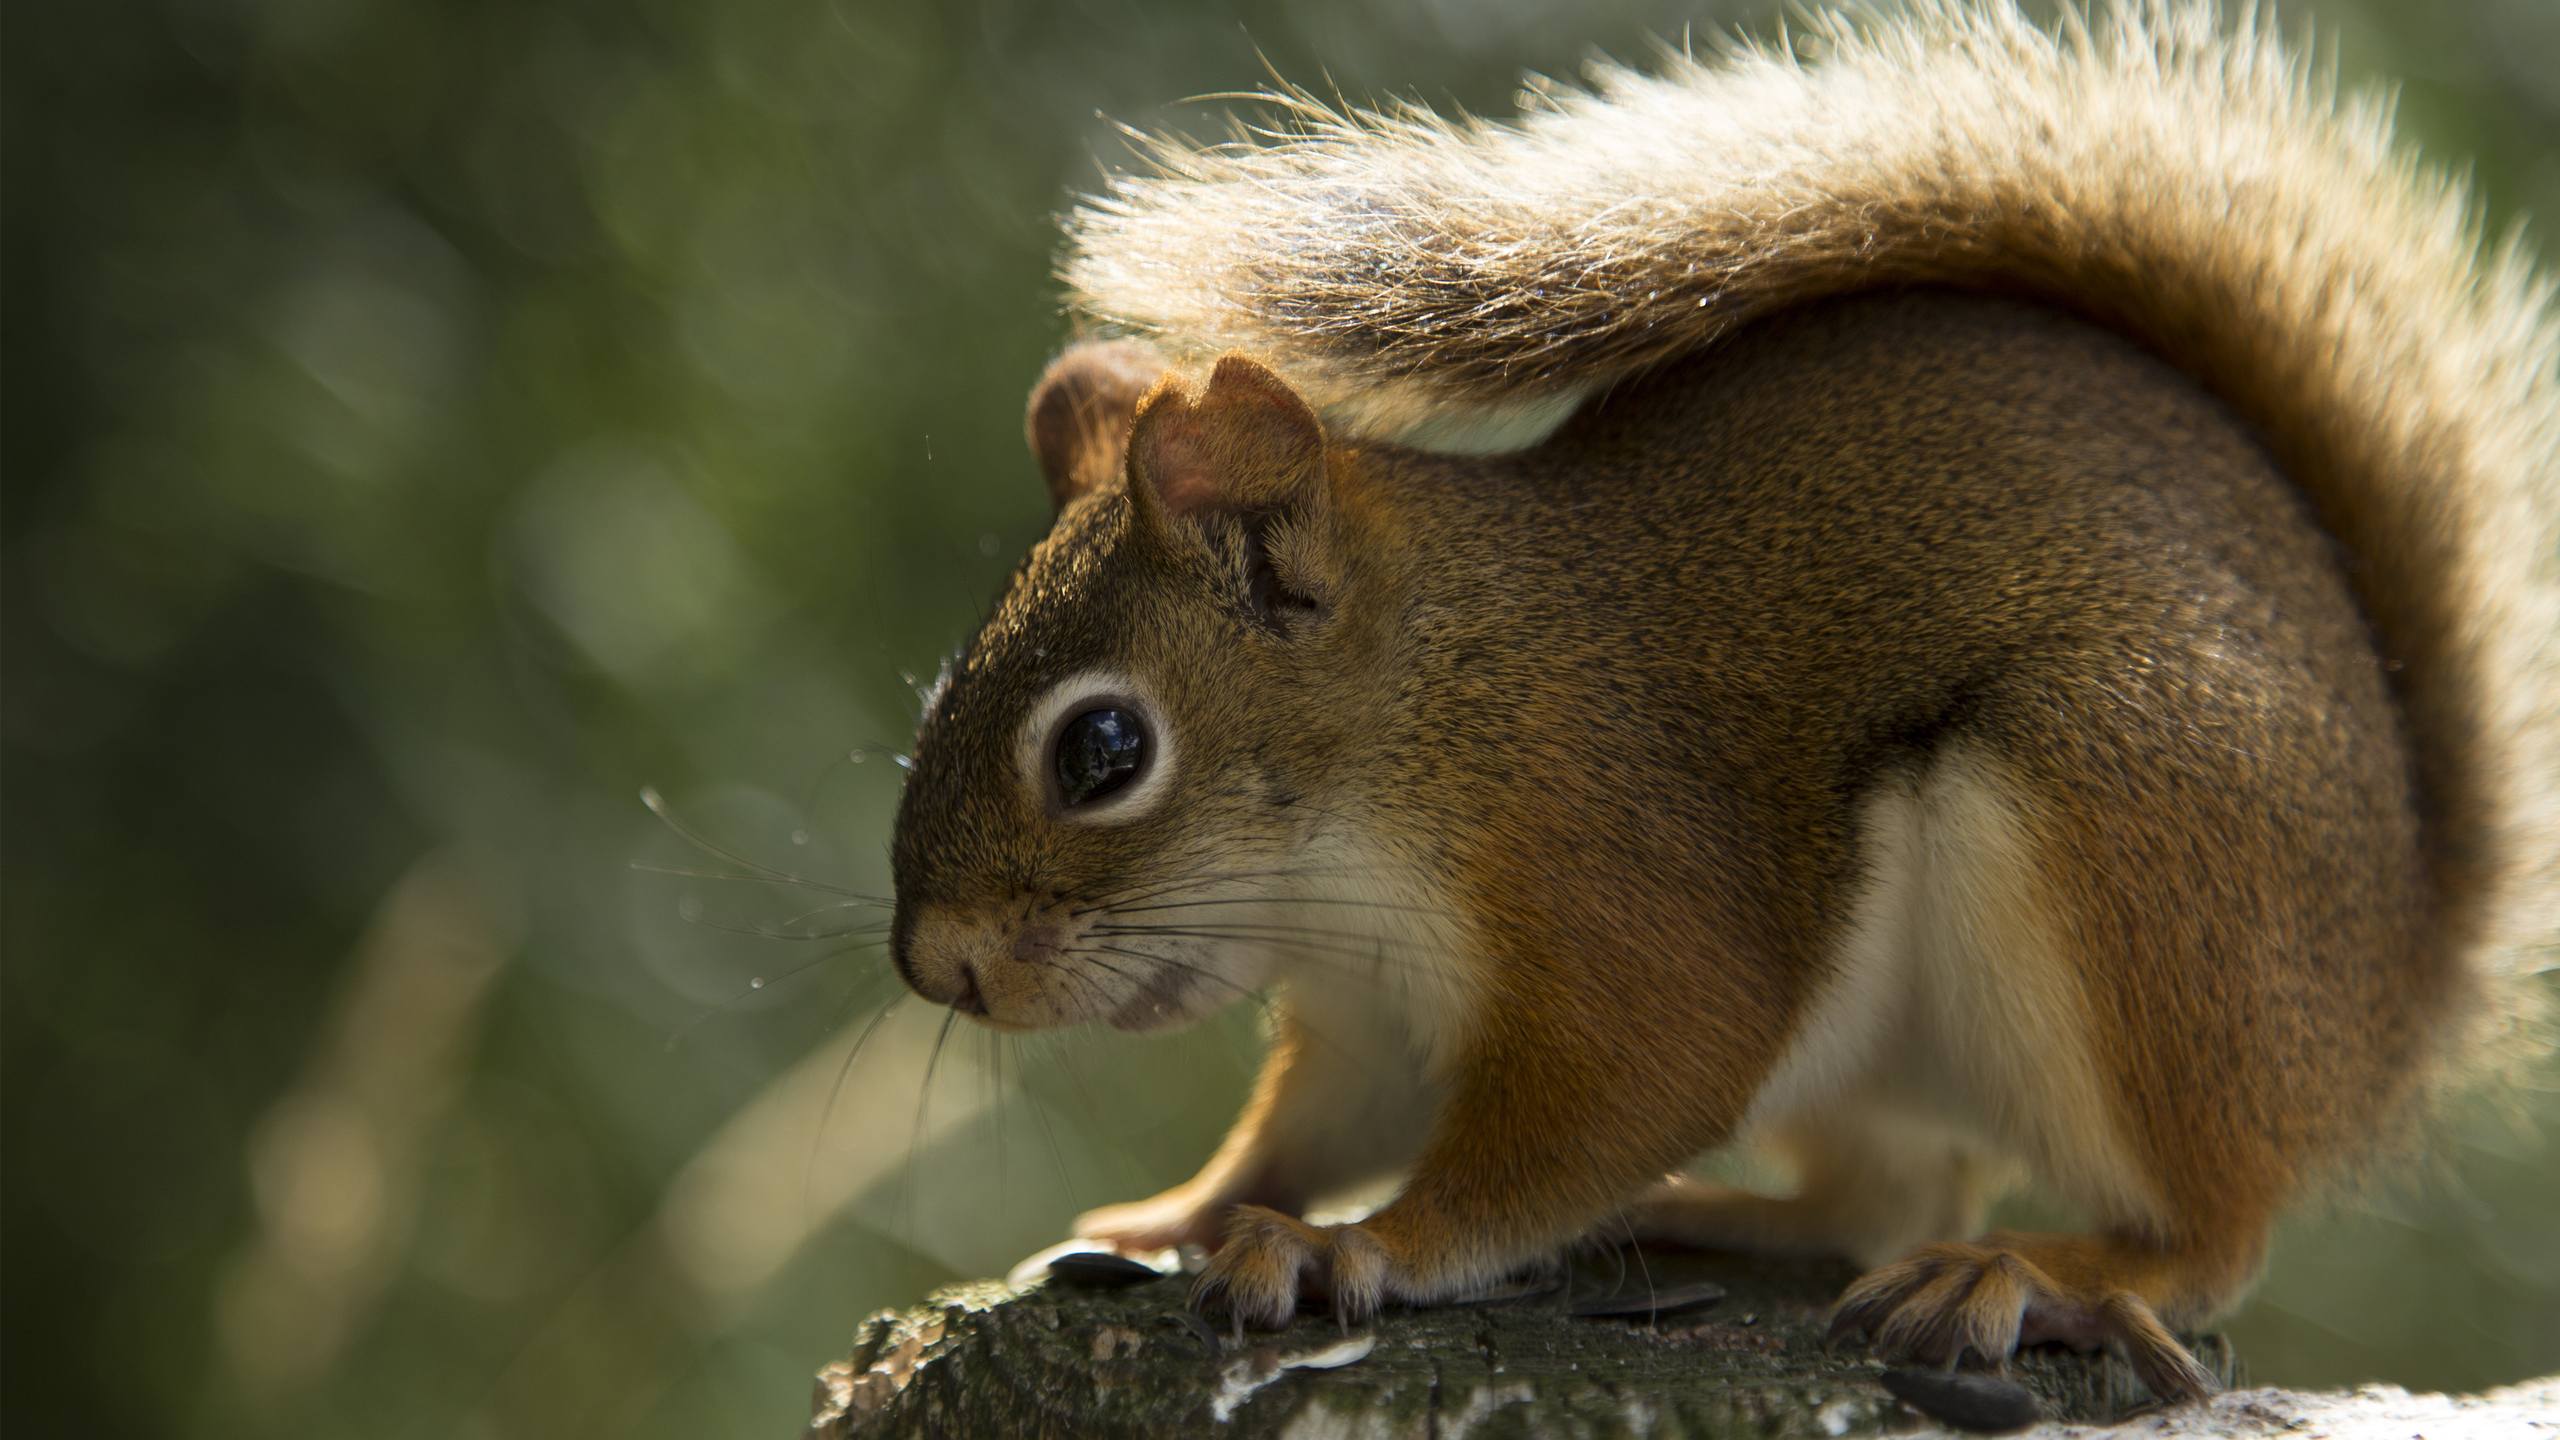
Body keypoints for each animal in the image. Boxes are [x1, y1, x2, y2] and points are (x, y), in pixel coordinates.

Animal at [875, 0, 2539, 1393]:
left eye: (1103, 748)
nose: (938, 969)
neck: (1415, 728)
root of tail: (2384, 1001)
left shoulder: (1619, 880)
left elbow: (1607, 1103)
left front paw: (1356, 1248)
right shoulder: (1366, 1020)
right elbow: (1302, 1136)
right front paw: (1174, 1216)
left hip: (2129, 857)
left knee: (2203, 1235)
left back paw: (2024, 1273)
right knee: (1883, 1198)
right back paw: (1718, 1219)